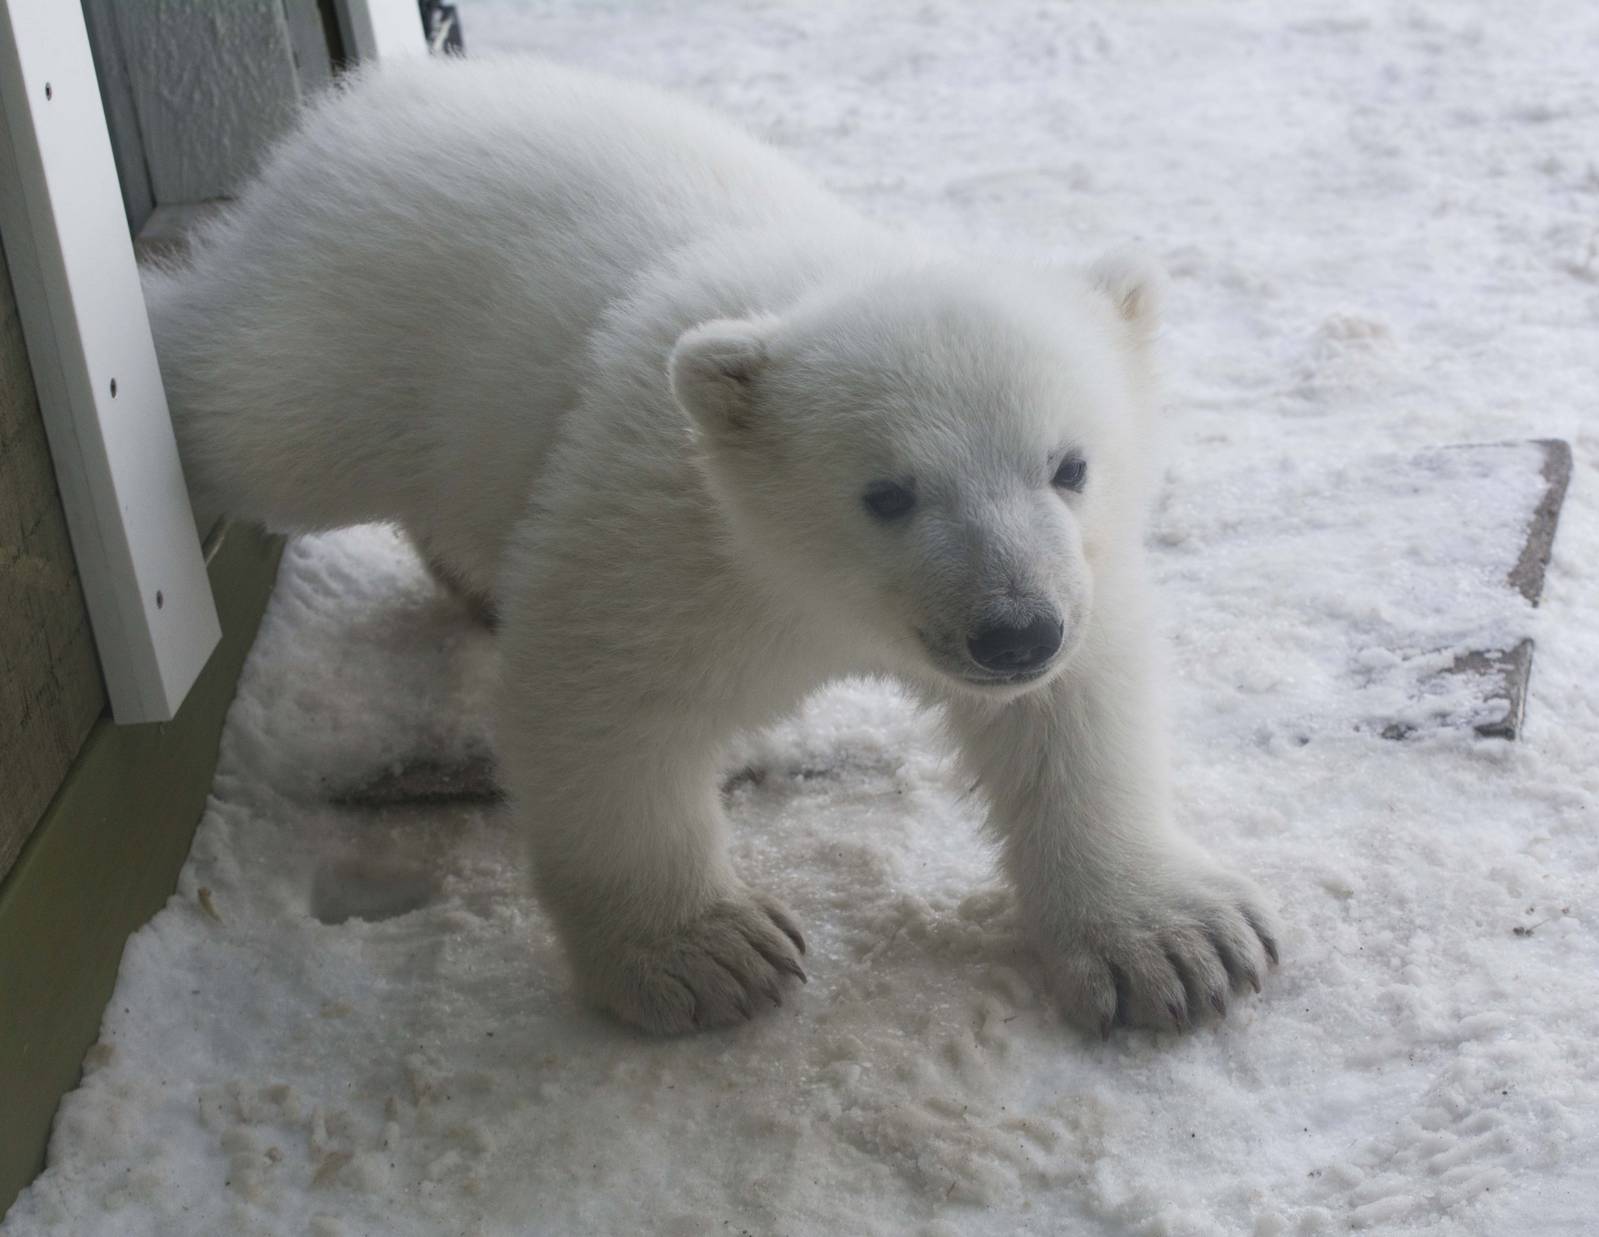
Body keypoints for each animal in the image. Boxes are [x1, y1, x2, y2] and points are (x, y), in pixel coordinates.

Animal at [145, 56, 1279, 1037]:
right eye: (887, 492)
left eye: (1069, 464)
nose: (1014, 630)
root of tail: (372, 97)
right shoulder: (661, 529)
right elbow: (601, 710)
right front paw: (709, 957)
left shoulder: (1077, 572)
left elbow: (1078, 711)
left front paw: (1180, 944)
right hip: (350, 335)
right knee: (240, 400)